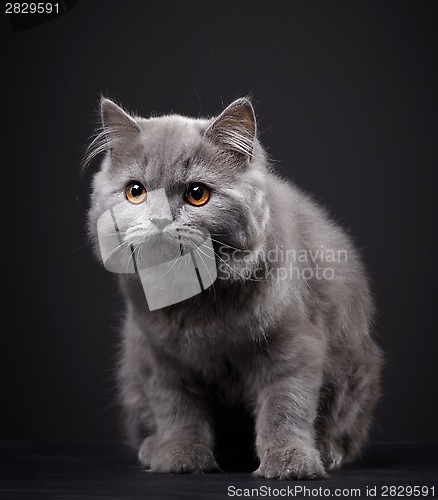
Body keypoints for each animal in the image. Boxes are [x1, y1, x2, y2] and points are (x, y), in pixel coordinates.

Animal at [84, 95, 380, 478]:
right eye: (136, 192)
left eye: (197, 194)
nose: (159, 220)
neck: (197, 303)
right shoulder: (160, 356)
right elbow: (176, 409)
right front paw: (181, 457)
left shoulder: (294, 343)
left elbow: (286, 405)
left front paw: (290, 461)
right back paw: (152, 449)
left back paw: (327, 453)